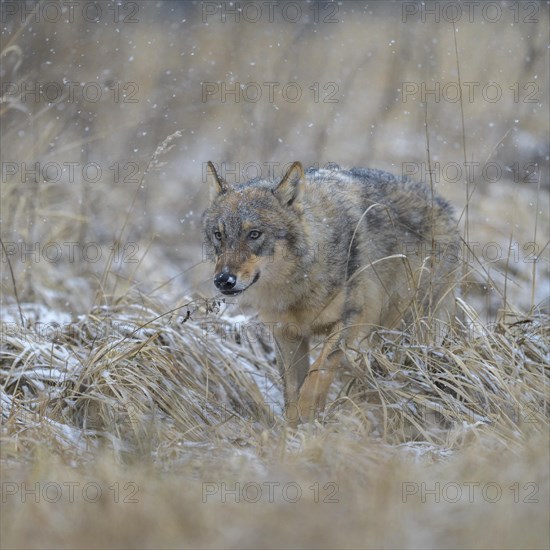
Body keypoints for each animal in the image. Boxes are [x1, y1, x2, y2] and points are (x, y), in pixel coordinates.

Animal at [203, 162, 462, 424]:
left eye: (254, 234)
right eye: (219, 235)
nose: (223, 280)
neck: (297, 287)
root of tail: (443, 205)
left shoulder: (349, 319)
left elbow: (316, 376)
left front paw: (311, 420)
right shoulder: (287, 335)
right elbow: (292, 393)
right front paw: (295, 430)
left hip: (404, 331)